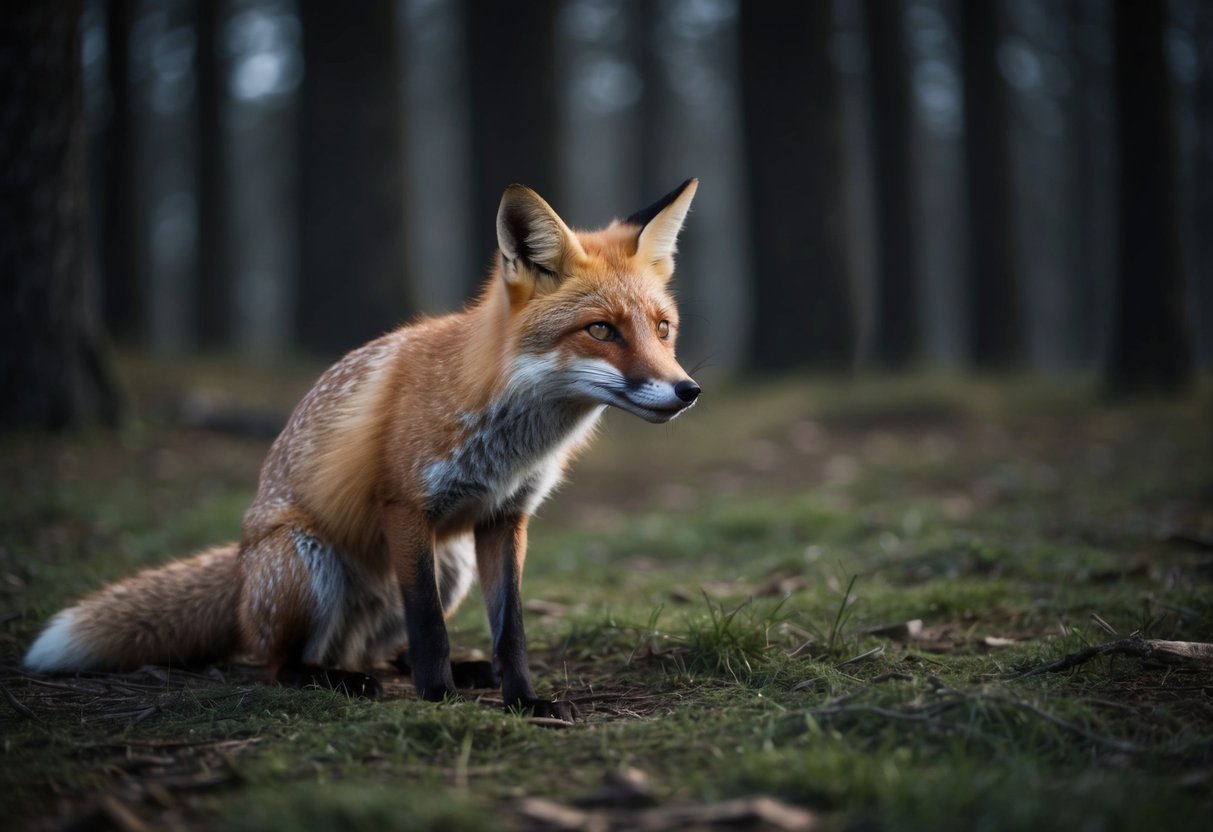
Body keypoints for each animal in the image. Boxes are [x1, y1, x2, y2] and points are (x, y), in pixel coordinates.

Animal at [23, 179, 701, 719]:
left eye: (662, 329)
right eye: (601, 330)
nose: (687, 390)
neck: (510, 436)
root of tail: (241, 564)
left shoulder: (504, 517)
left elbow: (510, 631)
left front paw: (523, 699)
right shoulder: (404, 505)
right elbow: (428, 626)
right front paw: (439, 698)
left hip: (451, 559)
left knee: (389, 649)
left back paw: (449, 669)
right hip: (306, 561)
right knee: (276, 661)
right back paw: (339, 679)